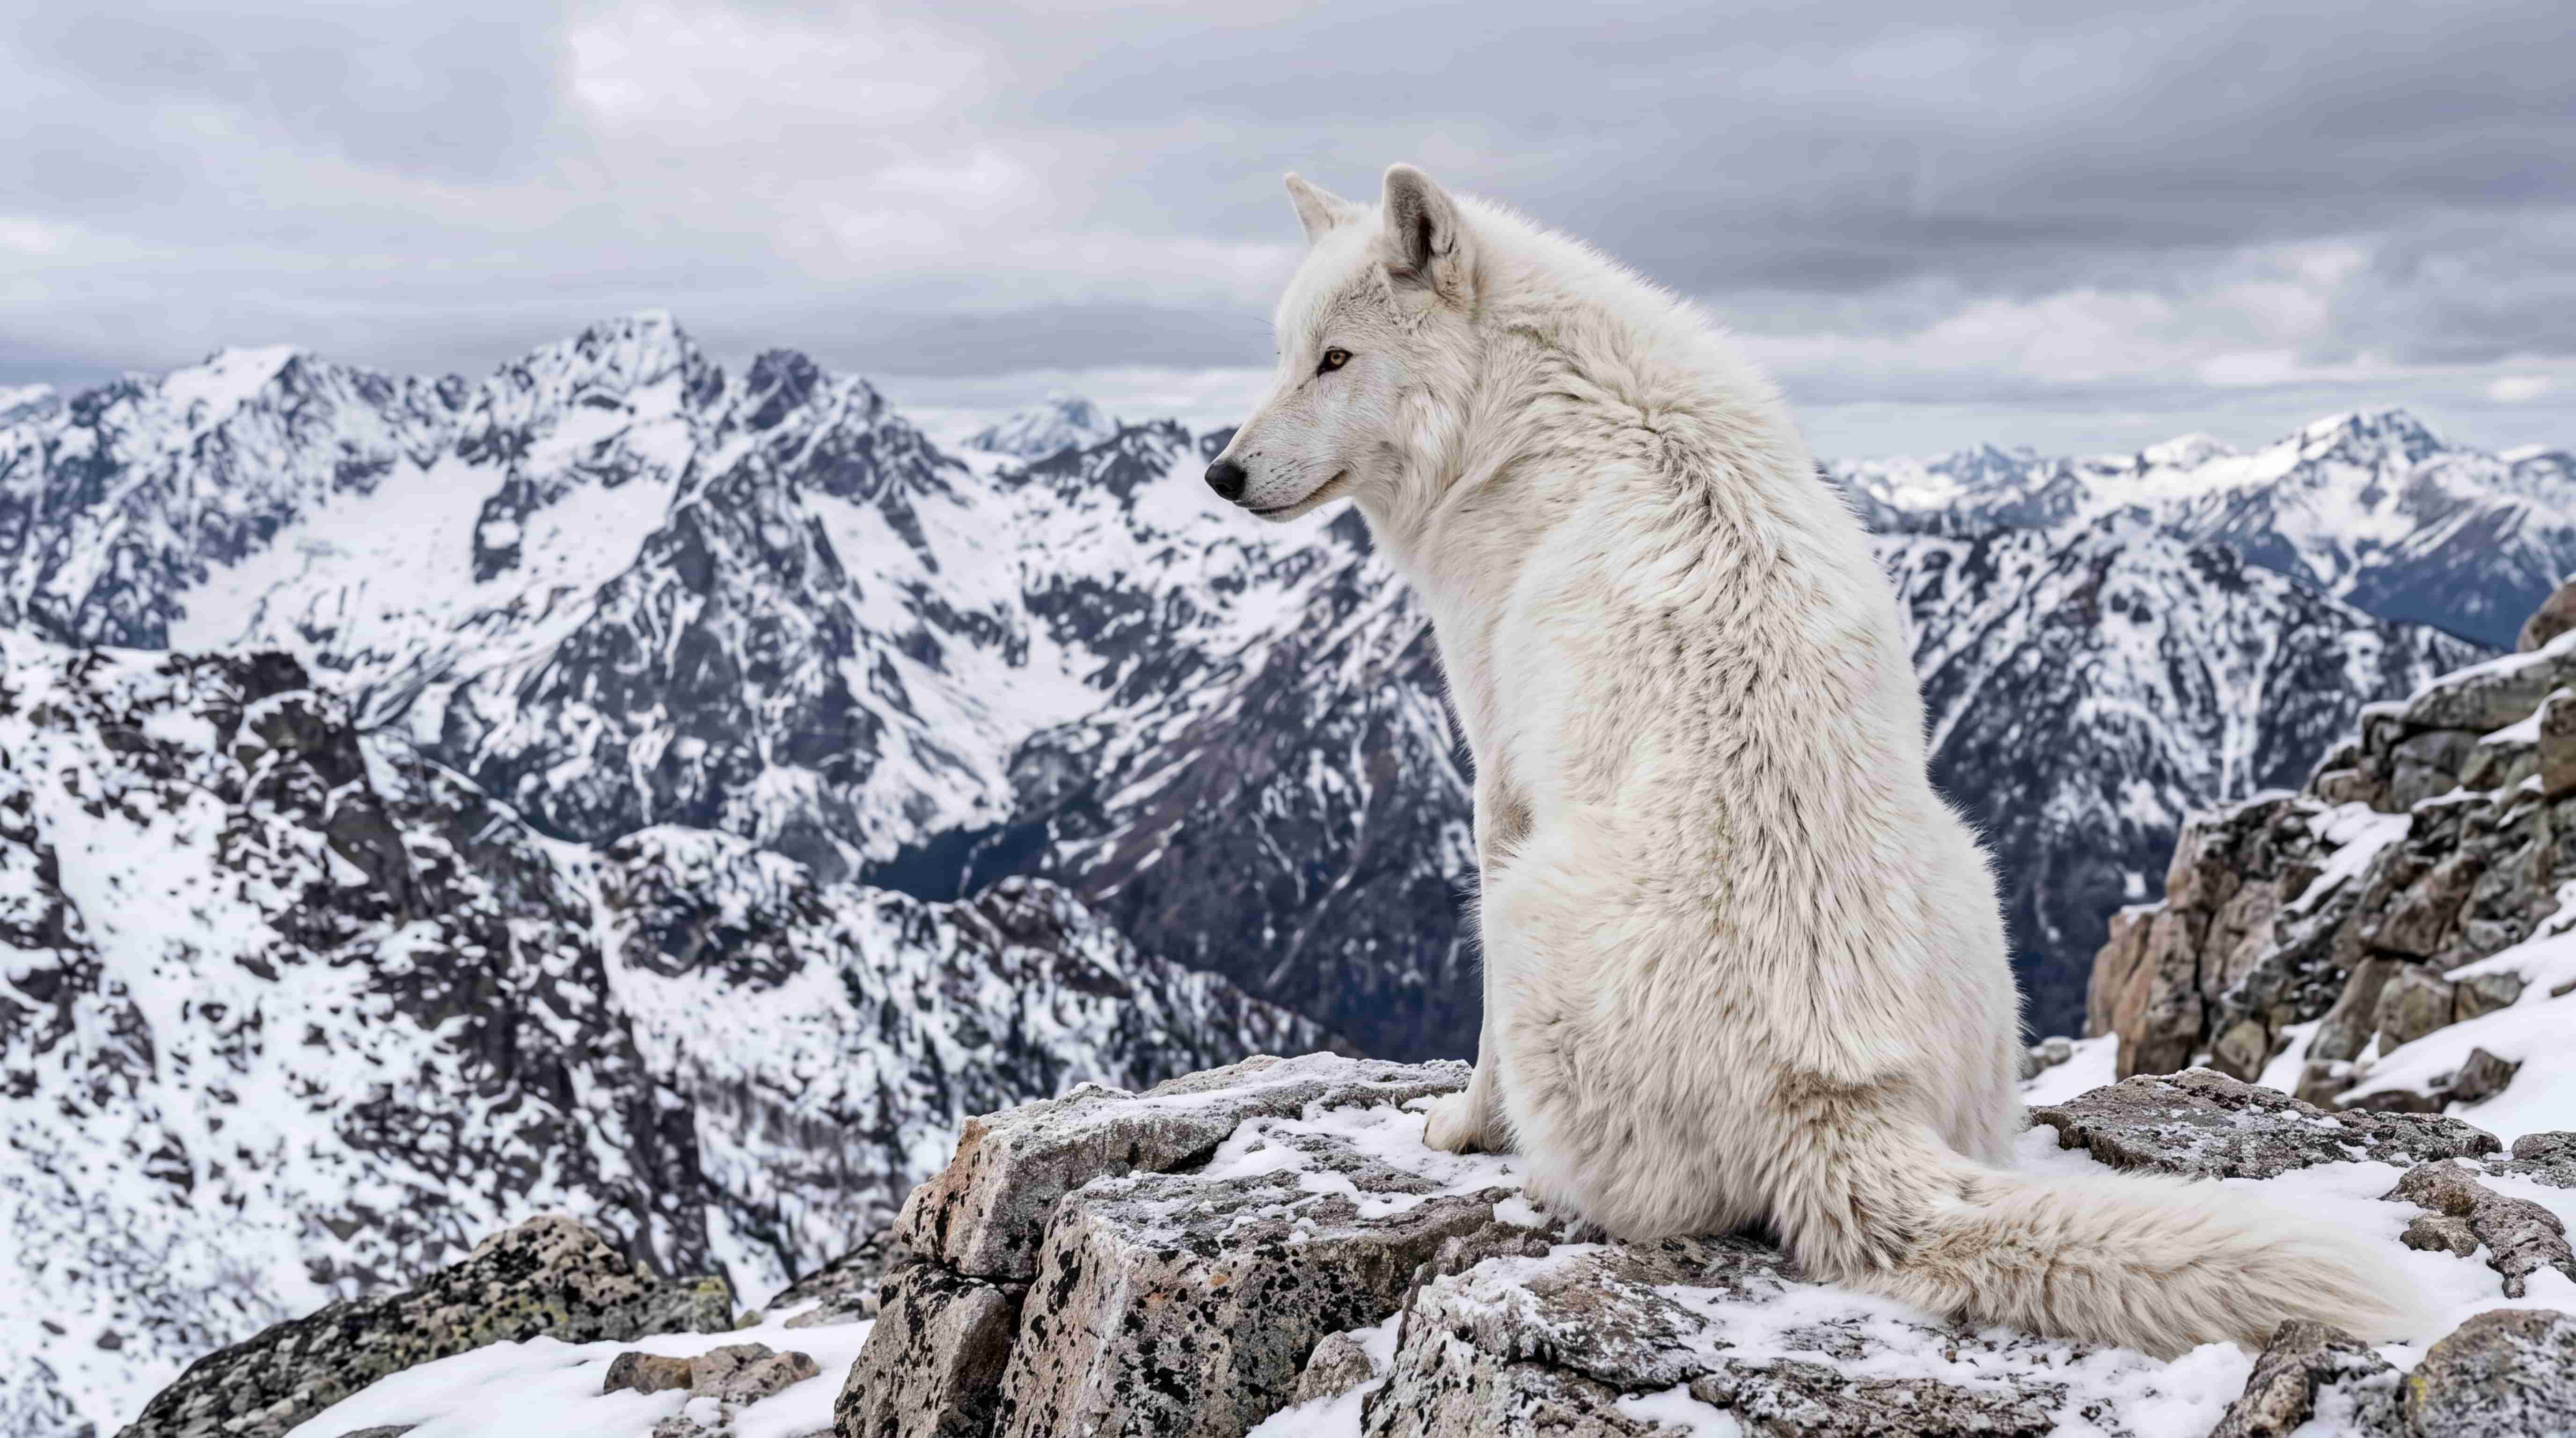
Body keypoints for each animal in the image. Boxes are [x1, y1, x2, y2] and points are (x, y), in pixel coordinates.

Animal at [1201, 165, 2418, 1358]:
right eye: (1286, 352)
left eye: (1334, 359)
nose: (1219, 473)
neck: (1532, 415)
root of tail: (1833, 1090)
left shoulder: (1499, 780)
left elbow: (1481, 1030)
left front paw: (1461, 1125)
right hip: (1971, 873)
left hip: (1529, 904)